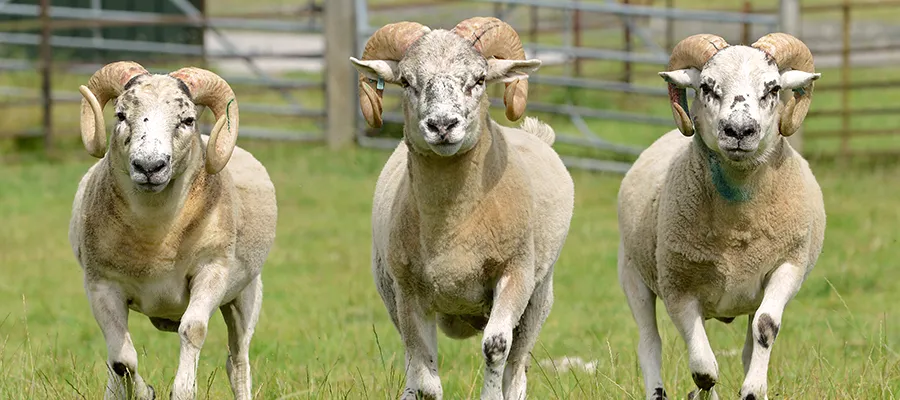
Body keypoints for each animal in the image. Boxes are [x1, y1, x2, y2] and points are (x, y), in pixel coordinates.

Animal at [68, 61, 277, 400]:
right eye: (120, 115)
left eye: (187, 119)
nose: (149, 166)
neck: (156, 238)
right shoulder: (101, 285)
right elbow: (122, 359)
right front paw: (146, 392)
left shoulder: (211, 271)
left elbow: (193, 329)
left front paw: (183, 390)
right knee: (115, 362)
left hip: (245, 294)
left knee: (238, 362)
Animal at [350, 17, 574, 400]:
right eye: (406, 81)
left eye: (479, 79)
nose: (442, 126)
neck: (454, 226)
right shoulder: (408, 292)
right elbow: (424, 377)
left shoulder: (515, 274)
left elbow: (496, 347)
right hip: (389, 291)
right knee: (410, 359)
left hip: (538, 297)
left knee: (517, 368)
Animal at [616, 33, 826, 400]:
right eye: (707, 86)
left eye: (773, 88)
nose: (739, 131)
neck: (738, 225)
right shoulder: (678, 286)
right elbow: (703, 368)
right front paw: (701, 393)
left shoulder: (788, 265)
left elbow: (766, 328)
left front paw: (754, 390)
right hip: (633, 273)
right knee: (649, 343)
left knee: (747, 345)